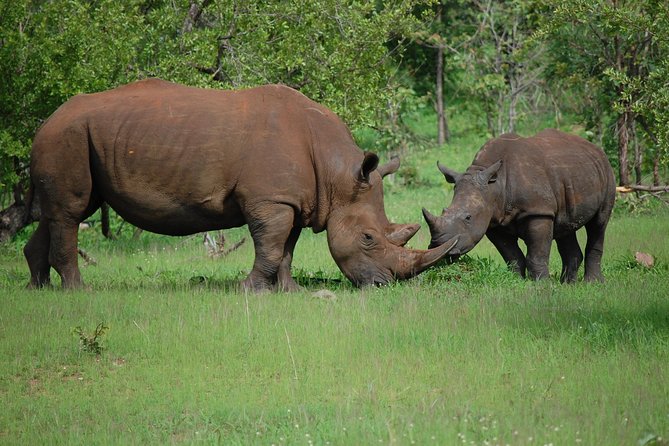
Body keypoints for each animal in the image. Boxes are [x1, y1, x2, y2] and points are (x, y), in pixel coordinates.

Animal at [24, 79, 457, 291]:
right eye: (368, 238)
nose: (383, 286)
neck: (337, 175)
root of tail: (45, 121)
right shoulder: (271, 200)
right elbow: (270, 246)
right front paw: (250, 290)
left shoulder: (294, 200)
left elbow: (287, 249)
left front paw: (288, 292)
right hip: (68, 136)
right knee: (71, 212)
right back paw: (78, 292)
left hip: (75, 136)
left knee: (60, 211)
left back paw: (38, 288)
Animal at [422, 129, 616, 283]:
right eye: (444, 210)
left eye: (468, 217)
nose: (439, 247)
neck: (494, 187)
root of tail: (594, 147)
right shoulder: (493, 220)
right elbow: (512, 256)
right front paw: (516, 281)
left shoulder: (538, 212)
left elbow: (536, 254)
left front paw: (541, 285)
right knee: (565, 226)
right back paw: (569, 284)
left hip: (606, 171)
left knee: (599, 222)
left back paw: (592, 283)